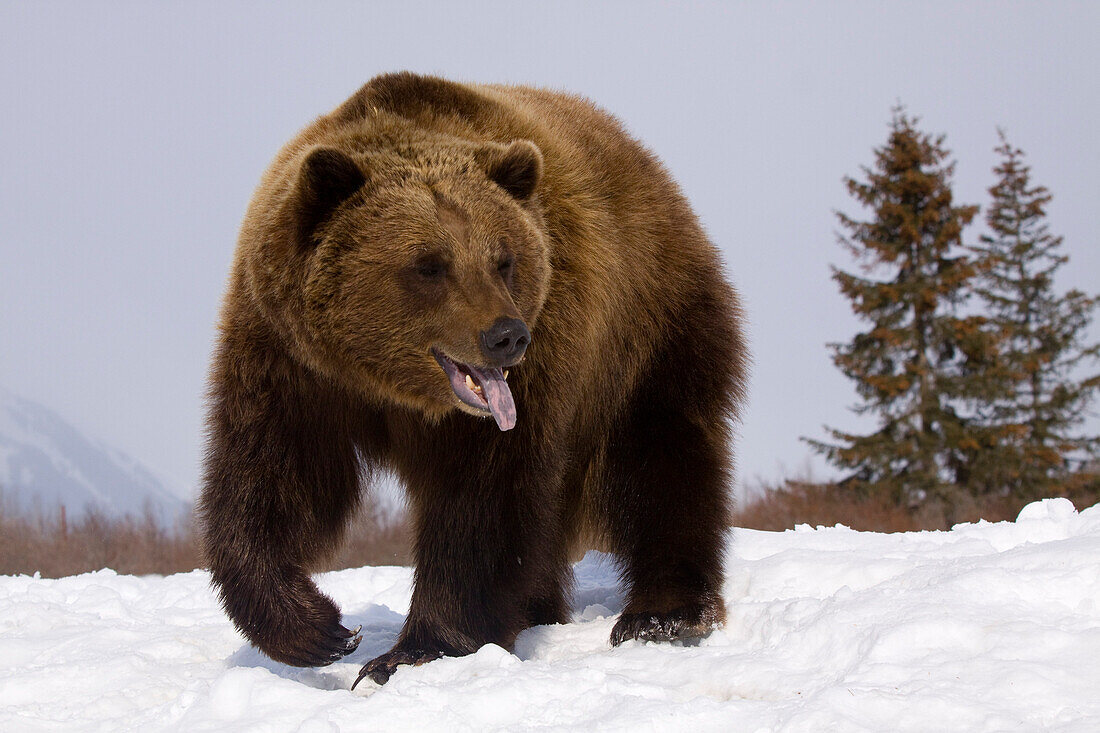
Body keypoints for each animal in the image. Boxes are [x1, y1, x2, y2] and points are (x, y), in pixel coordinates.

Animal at [198, 72, 748, 686]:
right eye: (429, 265)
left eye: (503, 259)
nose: (507, 335)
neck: (389, 385)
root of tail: (648, 166)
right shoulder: (291, 362)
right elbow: (271, 476)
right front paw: (317, 629)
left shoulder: (536, 367)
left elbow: (481, 500)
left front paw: (411, 652)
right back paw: (540, 609)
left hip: (646, 324)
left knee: (660, 452)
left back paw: (661, 614)